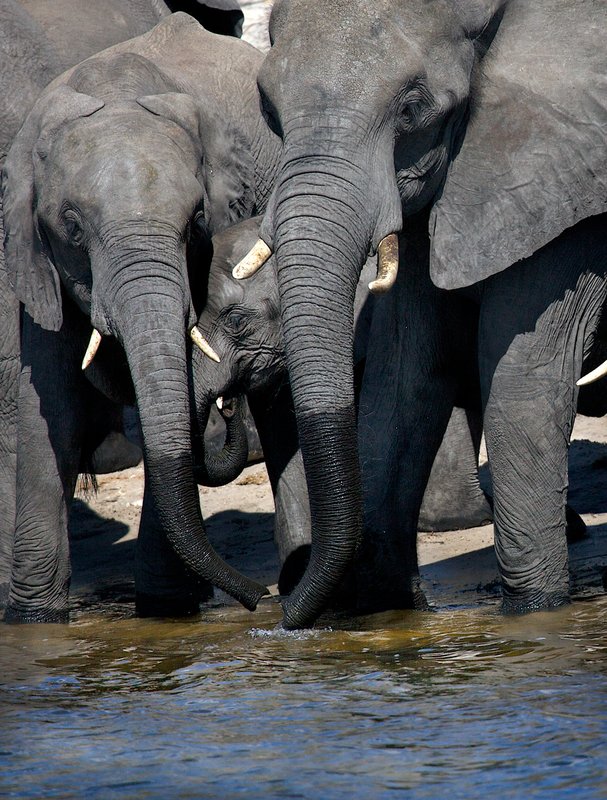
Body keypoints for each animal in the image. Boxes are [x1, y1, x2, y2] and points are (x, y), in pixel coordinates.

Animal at [1, 12, 282, 622]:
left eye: (196, 219)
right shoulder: (37, 260)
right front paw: (35, 620)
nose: (261, 597)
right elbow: (50, 404)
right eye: (72, 225)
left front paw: (166, 607)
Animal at [232, 0, 607, 628]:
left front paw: (534, 612)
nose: (268, 611)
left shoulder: (566, 180)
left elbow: (523, 382)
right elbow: (406, 377)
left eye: (412, 110)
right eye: (266, 107)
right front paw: (384, 605)